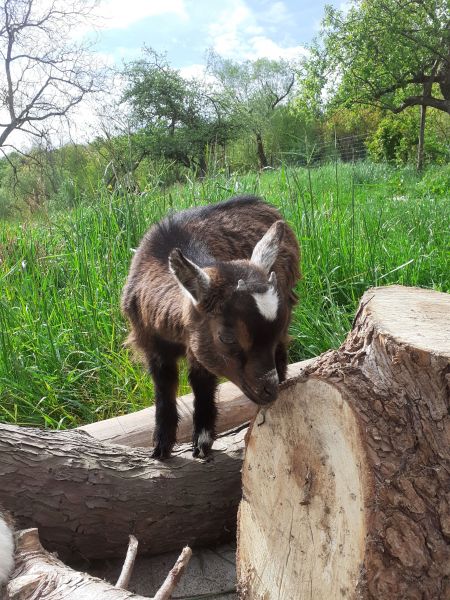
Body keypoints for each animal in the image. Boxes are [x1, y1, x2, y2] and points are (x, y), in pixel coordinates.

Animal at [121, 195, 300, 458]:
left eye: (275, 328)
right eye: (227, 337)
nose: (269, 390)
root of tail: (263, 203)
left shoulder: (197, 346)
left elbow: (201, 382)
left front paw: (202, 442)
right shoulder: (152, 344)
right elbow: (164, 387)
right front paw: (161, 445)